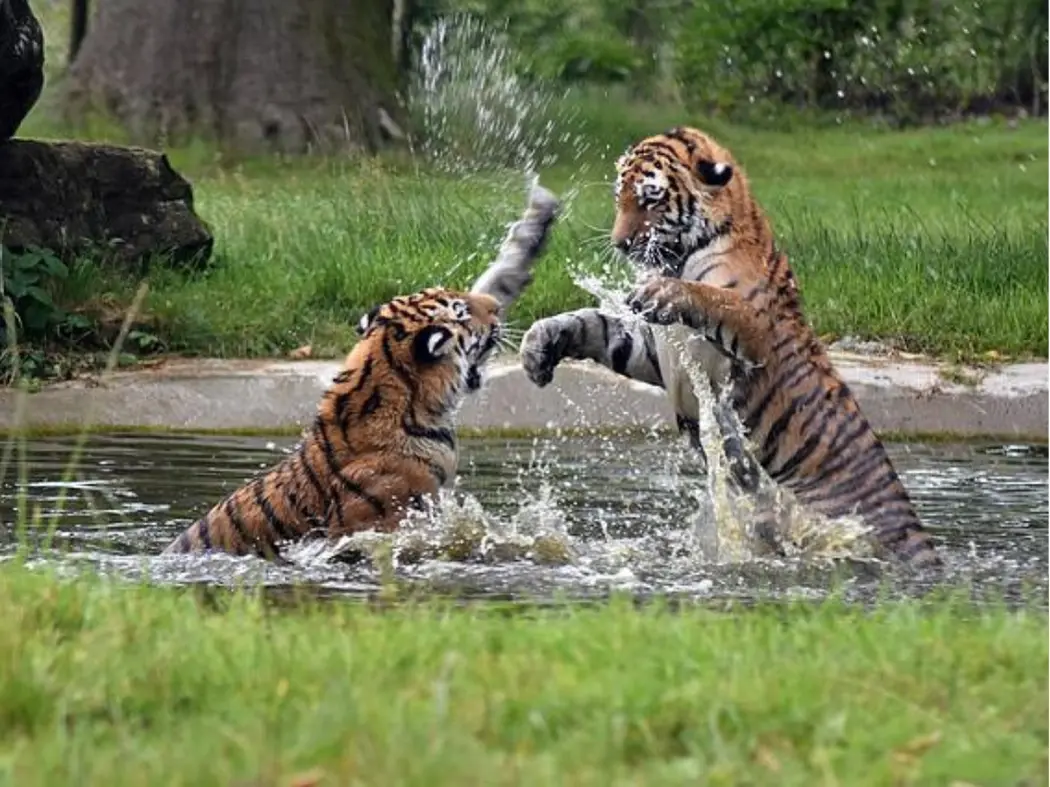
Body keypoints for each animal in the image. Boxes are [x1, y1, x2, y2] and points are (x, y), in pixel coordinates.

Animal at [519, 126, 941, 568]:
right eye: (621, 196)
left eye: (650, 197)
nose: (621, 244)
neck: (683, 255)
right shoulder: (651, 349)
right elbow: (592, 323)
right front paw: (538, 346)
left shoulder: (755, 333)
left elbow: (712, 297)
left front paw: (662, 290)